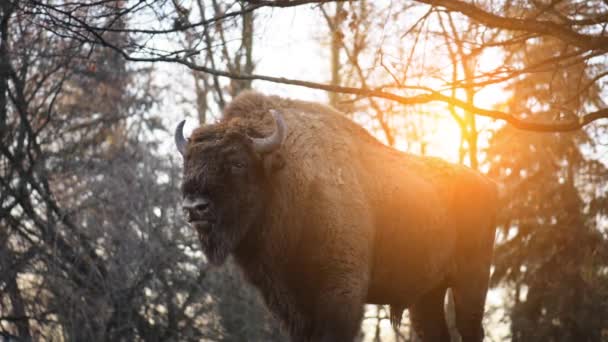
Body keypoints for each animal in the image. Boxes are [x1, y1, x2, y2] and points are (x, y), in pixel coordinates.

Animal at [175, 91, 498, 342]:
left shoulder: (340, 292)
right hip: (427, 292)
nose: (194, 207)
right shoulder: (290, 302)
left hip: (472, 281)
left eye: (237, 162)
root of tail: (489, 185)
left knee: (470, 328)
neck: (287, 177)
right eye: (188, 161)